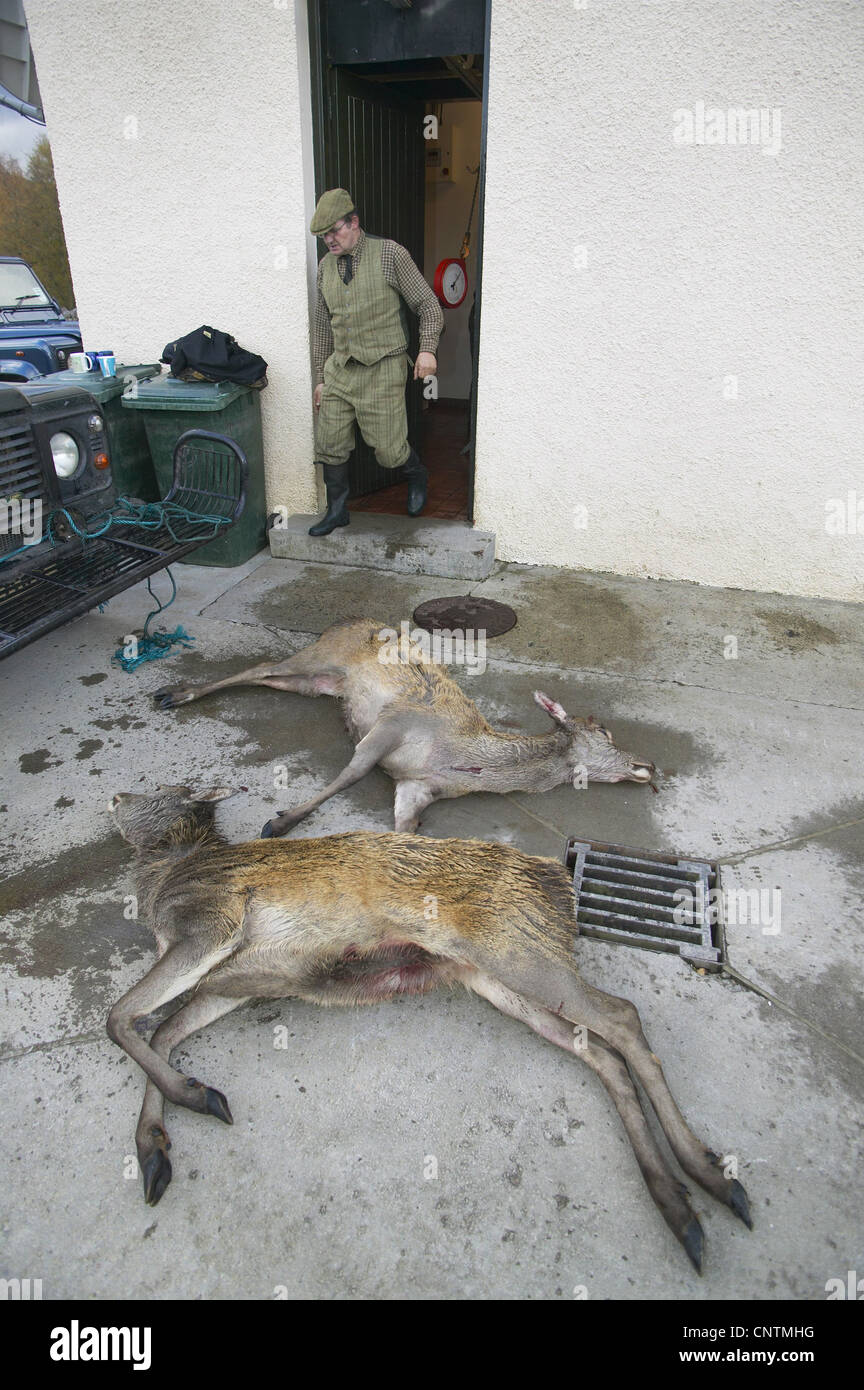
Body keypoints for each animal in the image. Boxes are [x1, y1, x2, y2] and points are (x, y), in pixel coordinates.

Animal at [106, 783, 750, 1273]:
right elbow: (161, 1030)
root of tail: (558, 885)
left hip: (518, 953)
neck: (166, 878)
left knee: (622, 1016)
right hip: (497, 980)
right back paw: (682, 1206)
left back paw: (710, 1180)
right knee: (601, 1052)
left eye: (161, 791)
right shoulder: (235, 982)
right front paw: (159, 1146)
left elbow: (119, 1017)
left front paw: (192, 1099)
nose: (115, 794)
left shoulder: (210, 921)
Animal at [155, 619, 655, 834]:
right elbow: (353, 773)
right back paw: (174, 694)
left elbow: (404, 829)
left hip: (315, 684)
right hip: (319, 657)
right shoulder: (395, 721)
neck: (459, 763)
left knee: (267, 675)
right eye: (606, 733)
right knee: (262, 665)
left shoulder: (414, 787)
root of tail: (341, 622)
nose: (650, 765)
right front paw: (281, 822)